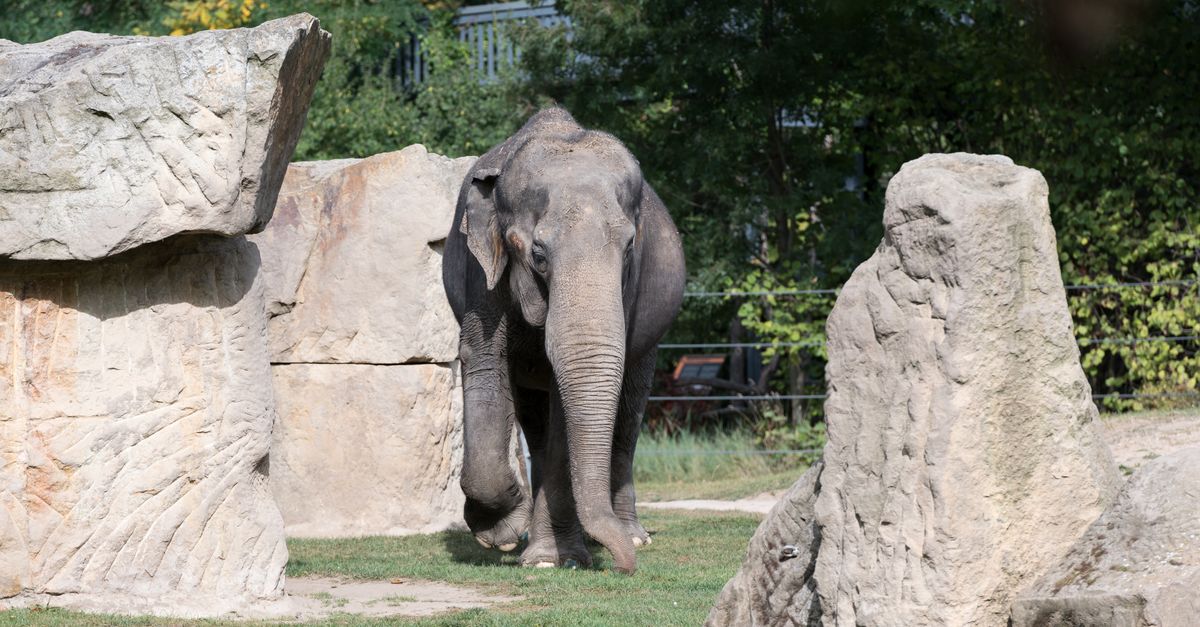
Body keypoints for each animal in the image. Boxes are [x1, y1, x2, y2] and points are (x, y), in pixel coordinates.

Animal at [442, 107, 686, 574]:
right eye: (538, 254)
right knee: (535, 422)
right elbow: (484, 361)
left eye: (629, 247)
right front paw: (502, 535)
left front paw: (553, 560)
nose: (625, 568)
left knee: (628, 415)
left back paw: (630, 536)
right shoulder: (479, 271)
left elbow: (564, 407)